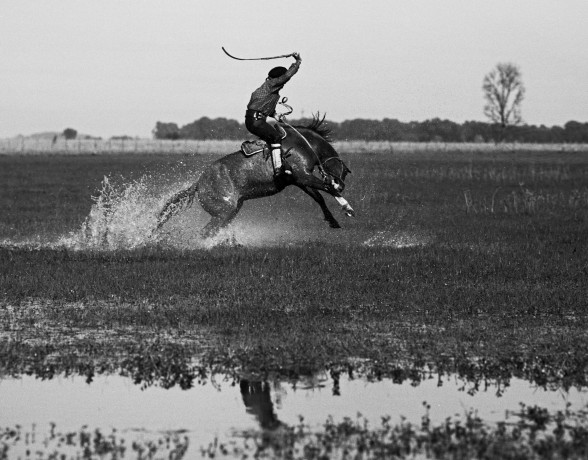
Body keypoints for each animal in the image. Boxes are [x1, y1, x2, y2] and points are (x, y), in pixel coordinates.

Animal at [154, 113, 354, 239]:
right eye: (343, 170)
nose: (342, 185)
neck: (302, 144)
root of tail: (198, 184)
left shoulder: (298, 180)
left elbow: (319, 196)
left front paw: (333, 220)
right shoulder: (303, 175)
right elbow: (327, 188)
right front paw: (347, 208)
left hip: (231, 212)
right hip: (224, 212)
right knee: (205, 233)